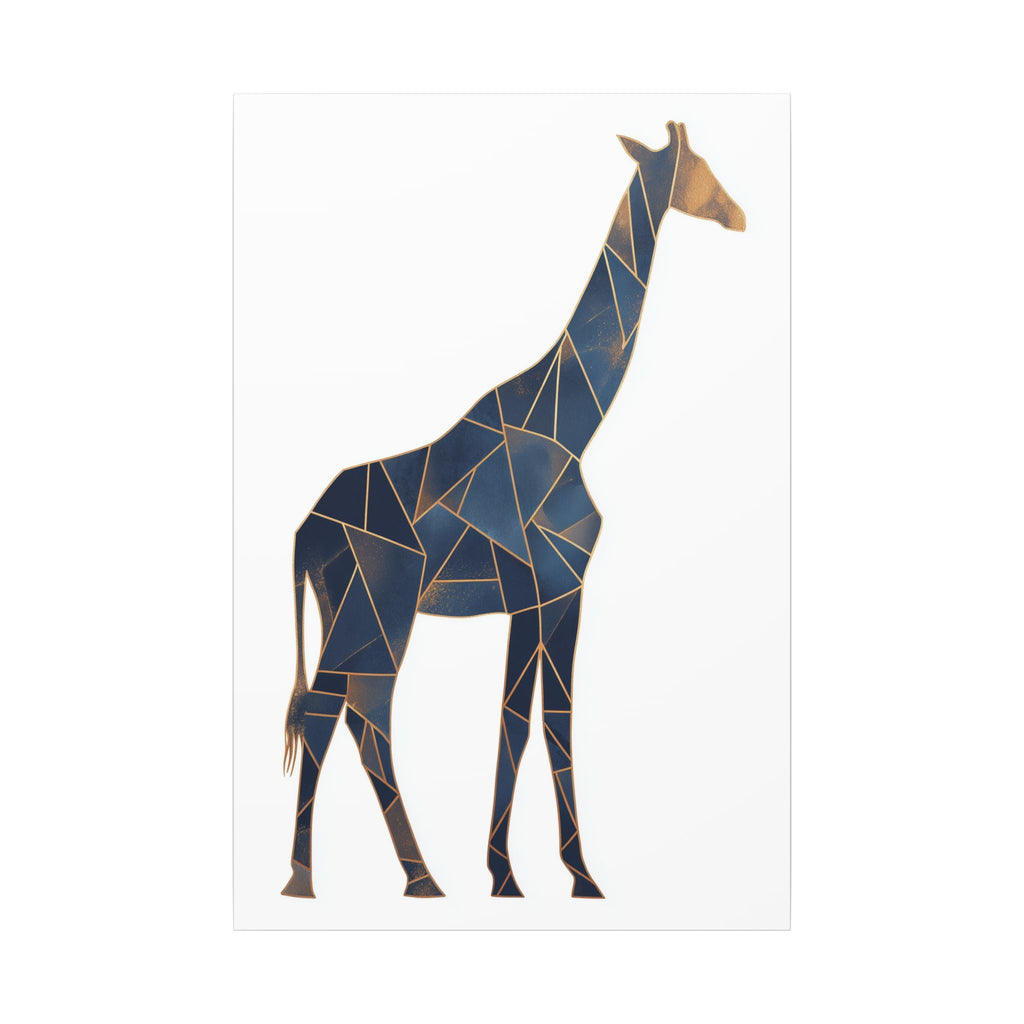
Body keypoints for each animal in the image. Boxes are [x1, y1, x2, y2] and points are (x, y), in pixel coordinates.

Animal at [280, 120, 746, 901]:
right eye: (700, 165)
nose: (739, 215)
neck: (573, 425)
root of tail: (306, 531)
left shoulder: (547, 595)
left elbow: (533, 722)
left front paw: (541, 874)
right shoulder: (550, 587)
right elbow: (535, 722)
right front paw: (543, 876)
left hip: (346, 610)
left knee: (345, 712)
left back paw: (397, 876)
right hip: (380, 609)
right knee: (351, 712)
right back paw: (330, 880)